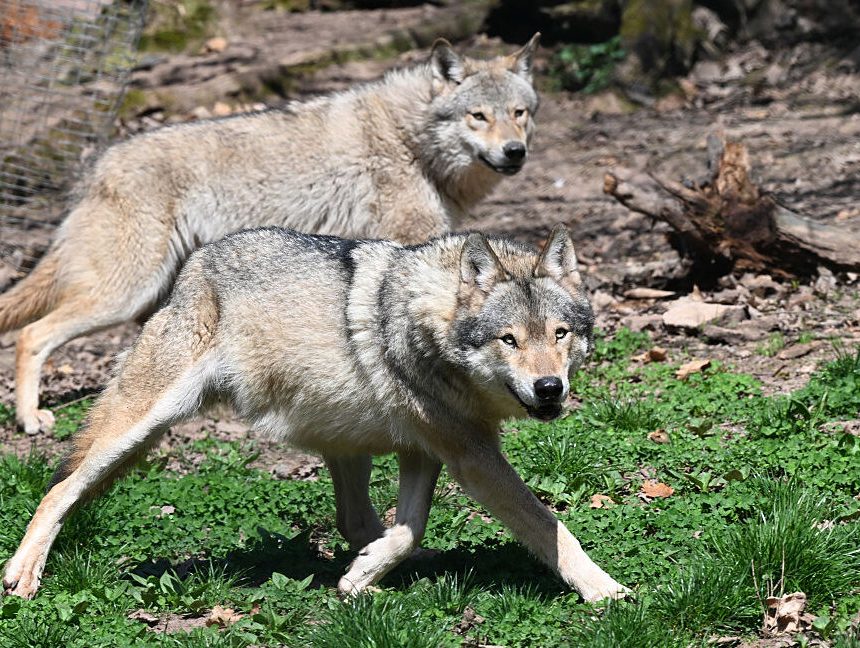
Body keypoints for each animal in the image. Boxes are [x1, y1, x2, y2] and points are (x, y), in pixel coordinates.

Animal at [0, 34, 541, 435]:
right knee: (30, 336)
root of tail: (97, 168)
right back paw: (29, 419)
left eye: (519, 113)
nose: (515, 152)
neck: (410, 138)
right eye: (478, 116)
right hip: (125, 294)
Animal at [2, 225, 629, 602]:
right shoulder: (471, 456)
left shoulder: (427, 450)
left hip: (341, 446)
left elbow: (409, 528)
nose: (549, 388)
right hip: (138, 428)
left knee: (355, 521)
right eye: (509, 340)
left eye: (560, 333)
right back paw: (22, 573)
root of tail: (196, 263)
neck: (430, 321)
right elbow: (550, 528)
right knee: (57, 489)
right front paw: (608, 591)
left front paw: (364, 575)